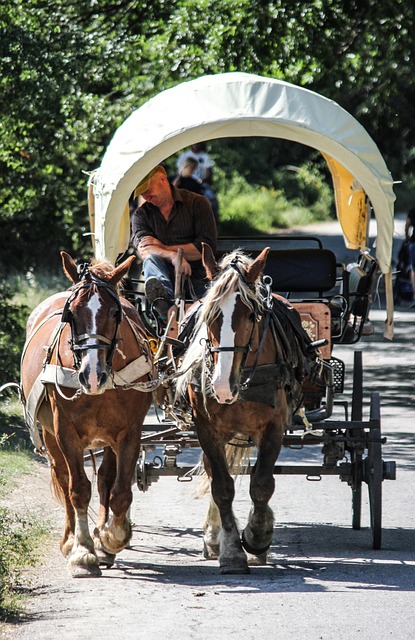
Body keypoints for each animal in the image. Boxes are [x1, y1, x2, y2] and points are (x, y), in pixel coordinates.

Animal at [20, 252, 154, 576]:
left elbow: (119, 489)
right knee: (63, 474)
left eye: (116, 313)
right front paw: (82, 551)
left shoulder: (130, 431)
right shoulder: (65, 430)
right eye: (70, 315)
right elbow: (78, 488)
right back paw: (70, 540)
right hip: (50, 434)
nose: (92, 375)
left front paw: (111, 537)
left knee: (106, 477)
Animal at [176, 245, 318, 576]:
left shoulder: (273, 427)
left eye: (251, 315)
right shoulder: (207, 429)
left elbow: (262, 483)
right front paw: (231, 551)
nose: (221, 386)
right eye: (209, 314)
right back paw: (214, 537)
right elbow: (222, 486)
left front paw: (257, 536)